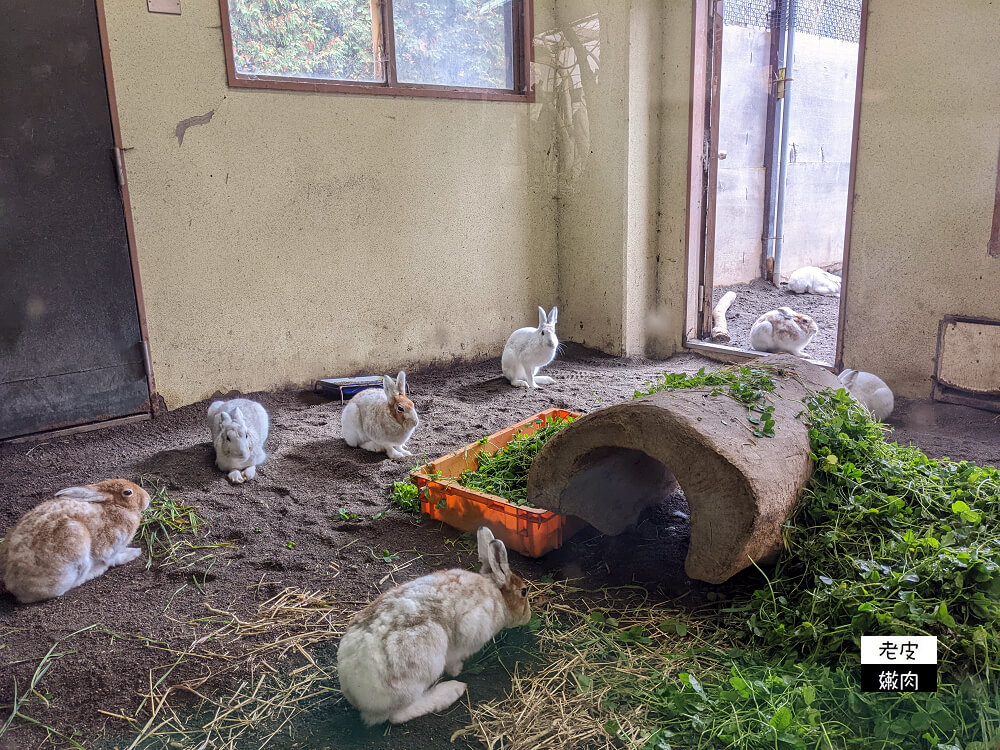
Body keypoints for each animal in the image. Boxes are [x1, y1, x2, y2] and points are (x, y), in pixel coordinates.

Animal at [0, 482, 150, 604]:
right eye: (128, 492)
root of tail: (9, 582)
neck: (115, 505)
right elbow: (113, 559)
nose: (148, 498)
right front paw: (135, 552)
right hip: (76, 543)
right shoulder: (110, 548)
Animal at [336, 524, 532, 724]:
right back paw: (451, 690)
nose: (528, 616)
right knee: (398, 715)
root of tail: (355, 693)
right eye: (524, 591)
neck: (496, 595)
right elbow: (454, 659)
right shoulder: (469, 630)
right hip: (424, 665)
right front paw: (457, 670)